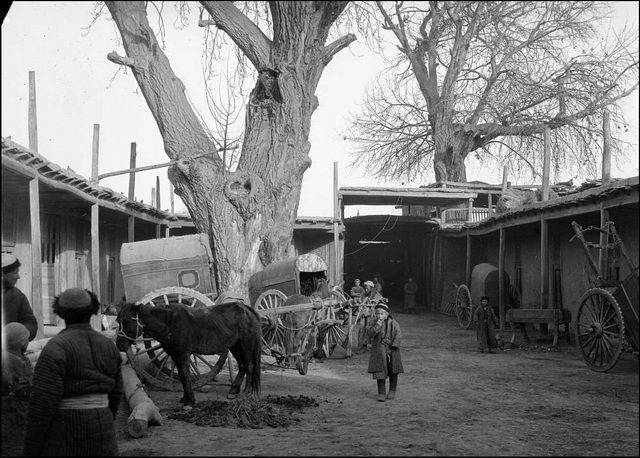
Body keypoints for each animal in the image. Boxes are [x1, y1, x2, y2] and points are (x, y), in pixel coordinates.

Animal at [116, 302, 262, 406]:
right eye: (118, 321)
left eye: (127, 321)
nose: (119, 344)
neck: (169, 323)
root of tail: (247, 309)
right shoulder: (175, 355)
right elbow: (182, 375)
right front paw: (185, 398)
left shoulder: (183, 355)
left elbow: (185, 375)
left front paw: (190, 401)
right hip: (235, 346)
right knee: (242, 366)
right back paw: (234, 391)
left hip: (246, 345)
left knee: (249, 366)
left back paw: (246, 393)